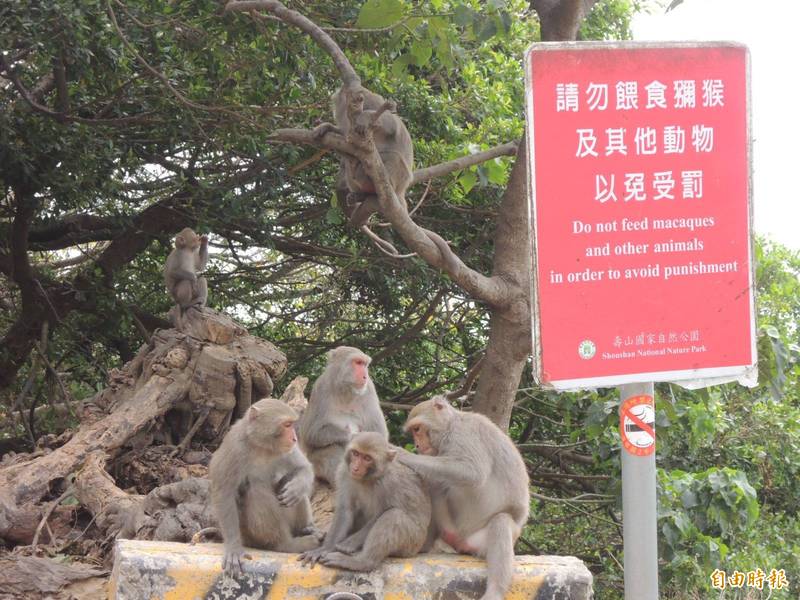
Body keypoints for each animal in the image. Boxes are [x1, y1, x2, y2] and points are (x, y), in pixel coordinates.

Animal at [298, 346, 390, 488]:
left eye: (364, 364)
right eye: (358, 363)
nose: (365, 375)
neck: (345, 390)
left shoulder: (369, 389)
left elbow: (378, 433)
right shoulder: (321, 388)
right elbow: (312, 432)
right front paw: (352, 437)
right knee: (329, 449)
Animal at [298, 434, 432, 568]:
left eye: (367, 458)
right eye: (356, 454)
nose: (356, 467)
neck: (368, 478)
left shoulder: (389, 482)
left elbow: (380, 514)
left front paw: (347, 544)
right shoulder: (344, 472)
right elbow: (345, 509)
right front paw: (325, 548)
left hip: (412, 542)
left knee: (394, 515)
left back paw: (361, 562)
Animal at [312, 83, 412, 226]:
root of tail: (401, 190)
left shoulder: (372, 101)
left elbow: (392, 123)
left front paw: (365, 117)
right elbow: (347, 139)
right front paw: (326, 127)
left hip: (401, 178)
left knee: (393, 157)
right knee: (349, 163)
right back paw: (361, 194)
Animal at [400, 394, 532, 600]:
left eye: (417, 429)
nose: (417, 445)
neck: (450, 428)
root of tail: (460, 540)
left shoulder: (466, 433)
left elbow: (472, 472)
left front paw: (402, 455)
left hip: (479, 542)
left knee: (501, 522)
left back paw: (495, 591)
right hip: (449, 528)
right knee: (434, 486)